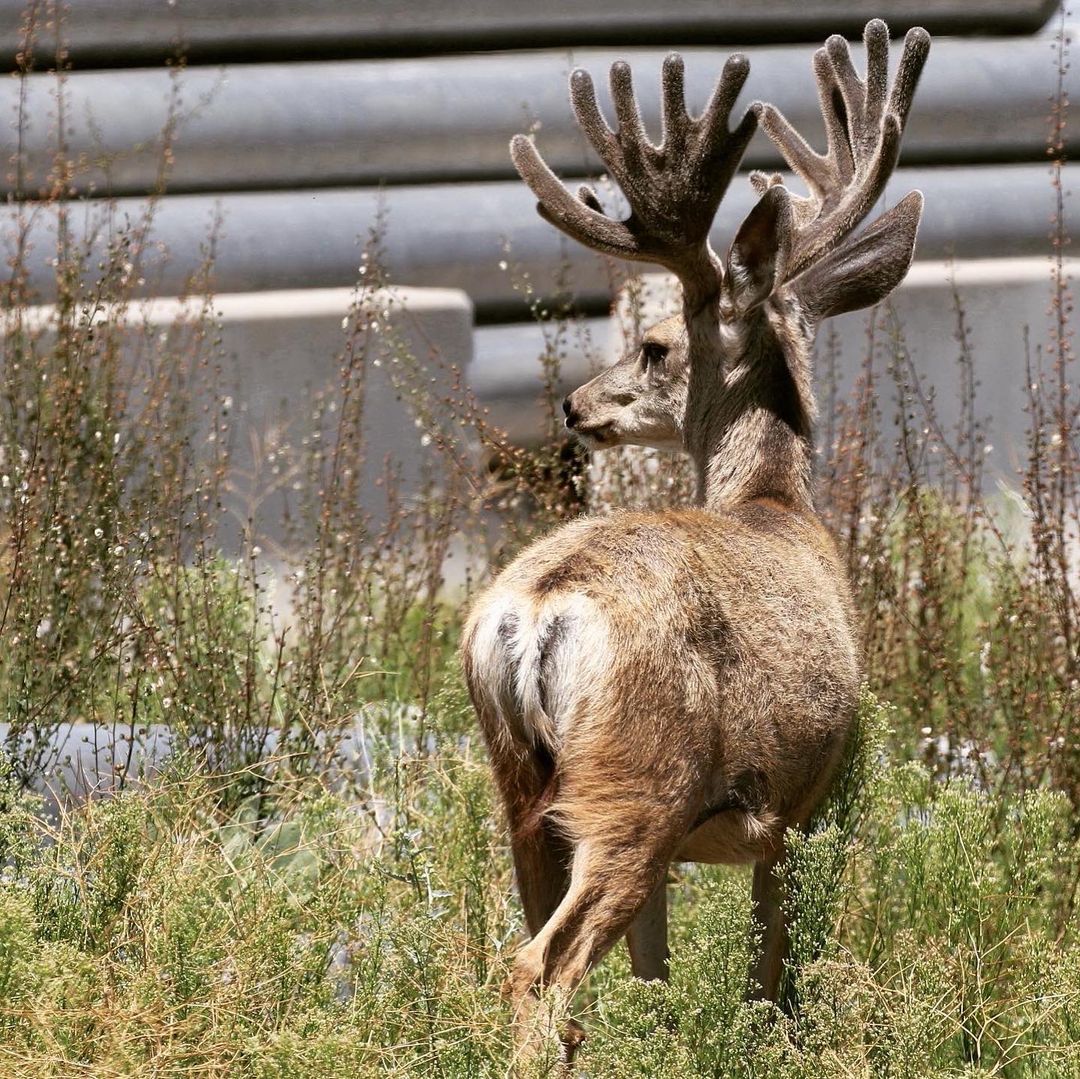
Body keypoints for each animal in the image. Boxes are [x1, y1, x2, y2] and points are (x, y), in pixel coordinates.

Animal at [461, 19, 929, 1065]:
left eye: (655, 347)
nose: (575, 405)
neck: (776, 505)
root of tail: (539, 609)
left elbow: (657, 978)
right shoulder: (810, 801)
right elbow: (771, 971)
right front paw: (770, 1042)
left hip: (527, 785)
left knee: (537, 945)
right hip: (641, 780)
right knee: (539, 965)